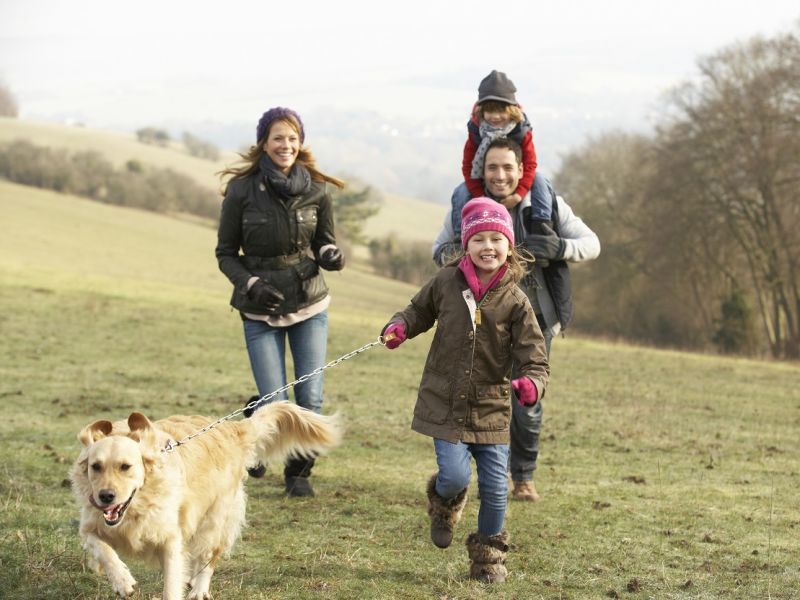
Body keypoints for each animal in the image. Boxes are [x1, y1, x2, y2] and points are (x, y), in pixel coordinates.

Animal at [69, 404, 340, 600]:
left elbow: (172, 584)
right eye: (96, 466)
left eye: (125, 466)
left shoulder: (170, 539)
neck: (136, 507)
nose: (106, 496)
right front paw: (122, 581)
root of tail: (233, 429)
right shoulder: (90, 526)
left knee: (209, 556)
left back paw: (199, 589)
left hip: (214, 519)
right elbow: (103, 549)